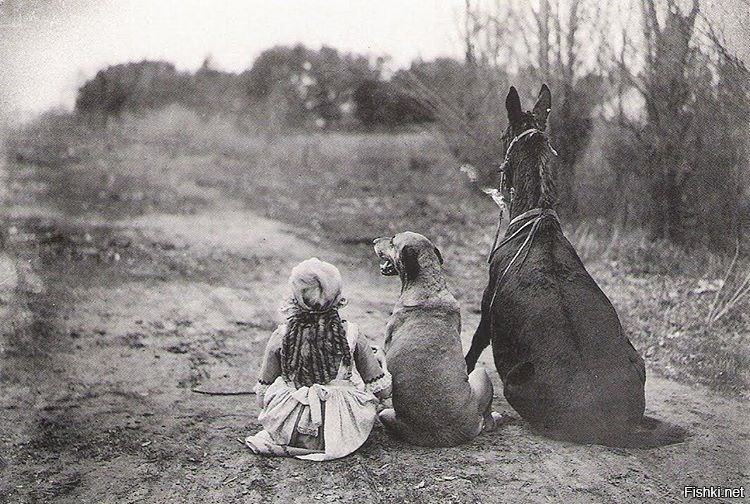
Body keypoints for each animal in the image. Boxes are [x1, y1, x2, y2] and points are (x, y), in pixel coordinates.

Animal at [468, 83, 692, 448]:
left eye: (503, 134)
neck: (537, 220)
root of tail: (612, 425)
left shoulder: (487, 311)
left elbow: (471, 350)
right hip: (637, 359)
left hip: (515, 381)